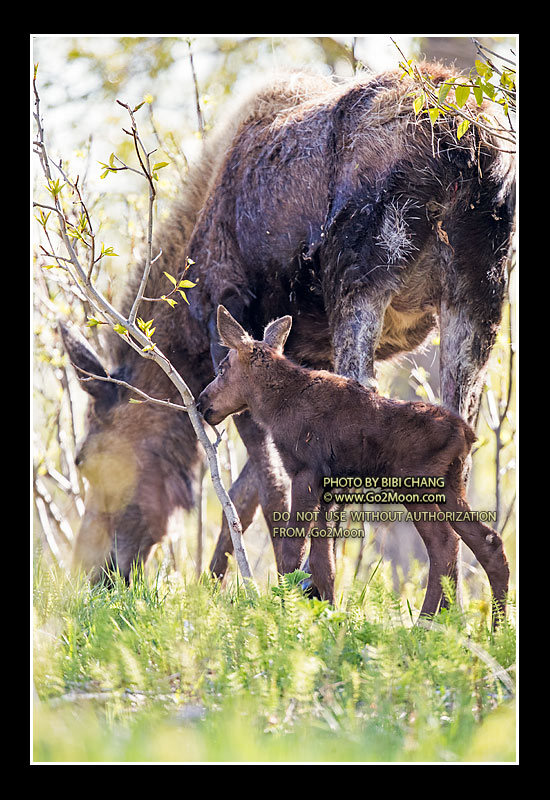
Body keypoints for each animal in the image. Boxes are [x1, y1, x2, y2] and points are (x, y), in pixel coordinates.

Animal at [197, 306, 510, 628]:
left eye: (222, 369)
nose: (201, 402)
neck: (274, 406)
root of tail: (467, 434)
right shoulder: (326, 487)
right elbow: (324, 563)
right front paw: (329, 617)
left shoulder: (304, 472)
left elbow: (292, 551)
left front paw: (285, 611)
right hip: (451, 486)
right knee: (488, 541)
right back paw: (495, 627)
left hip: (416, 487)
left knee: (444, 544)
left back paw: (423, 624)